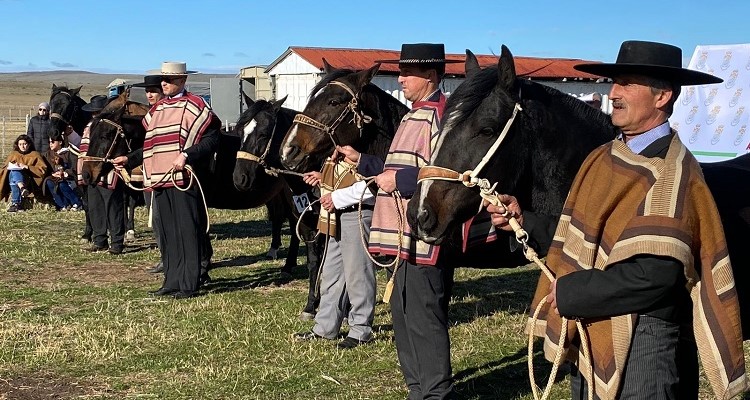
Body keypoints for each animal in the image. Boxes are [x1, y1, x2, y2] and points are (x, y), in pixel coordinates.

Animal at [234, 94, 324, 318]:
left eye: (264, 134)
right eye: (239, 131)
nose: (239, 179)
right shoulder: (307, 221)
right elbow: (314, 261)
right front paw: (311, 304)